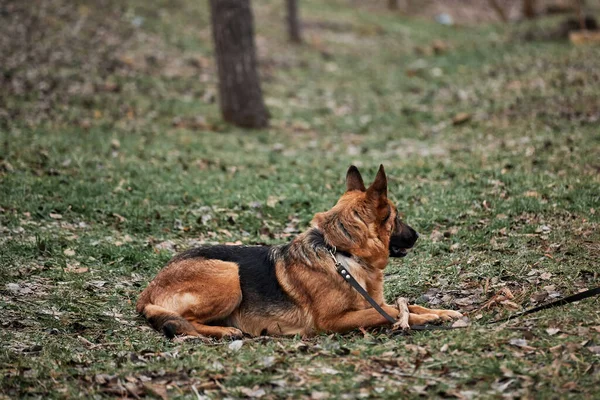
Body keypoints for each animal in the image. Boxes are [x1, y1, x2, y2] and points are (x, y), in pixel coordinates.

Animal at [137, 165, 464, 338]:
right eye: (396, 217)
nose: (418, 235)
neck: (341, 252)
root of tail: (149, 290)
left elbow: (404, 305)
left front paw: (440, 312)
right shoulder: (332, 321)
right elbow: (387, 312)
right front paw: (422, 320)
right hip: (229, 274)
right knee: (185, 323)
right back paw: (226, 332)